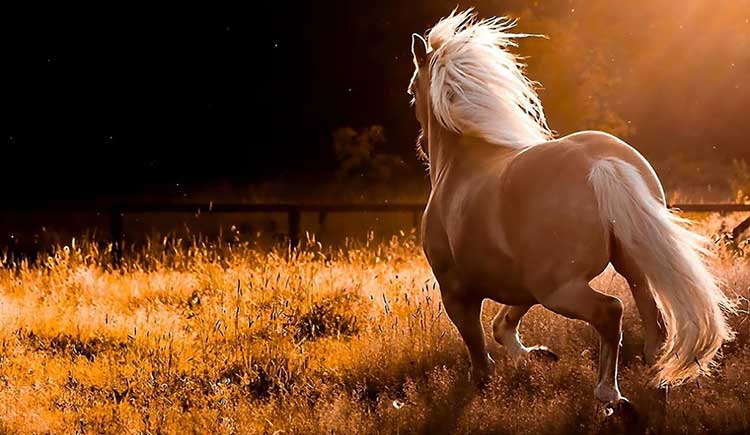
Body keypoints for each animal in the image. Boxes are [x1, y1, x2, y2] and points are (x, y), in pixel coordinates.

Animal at [408, 9, 736, 412]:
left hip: (560, 290)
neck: (460, 164)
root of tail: (601, 164)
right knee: (654, 323)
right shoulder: (522, 284)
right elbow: (503, 326)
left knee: (611, 312)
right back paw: (657, 383)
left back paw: (611, 395)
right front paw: (536, 355)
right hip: (628, 270)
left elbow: (479, 352)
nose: (422, 146)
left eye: (412, 91)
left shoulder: (456, 292)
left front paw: (484, 388)